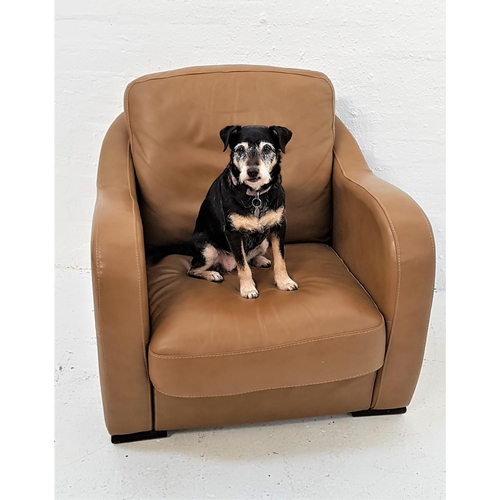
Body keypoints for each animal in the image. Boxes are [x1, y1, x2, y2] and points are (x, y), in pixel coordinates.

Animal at [148, 124, 296, 298]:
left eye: (266, 148)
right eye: (240, 149)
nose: (252, 171)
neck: (256, 195)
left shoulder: (278, 227)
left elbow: (280, 259)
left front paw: (284, 282)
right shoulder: (233, 233)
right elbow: (243, 266)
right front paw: (248, 289)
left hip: (264, 242)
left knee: (250, 256)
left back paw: (260, 260)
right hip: (207, 250)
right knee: (192, 270)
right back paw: (213, 274)